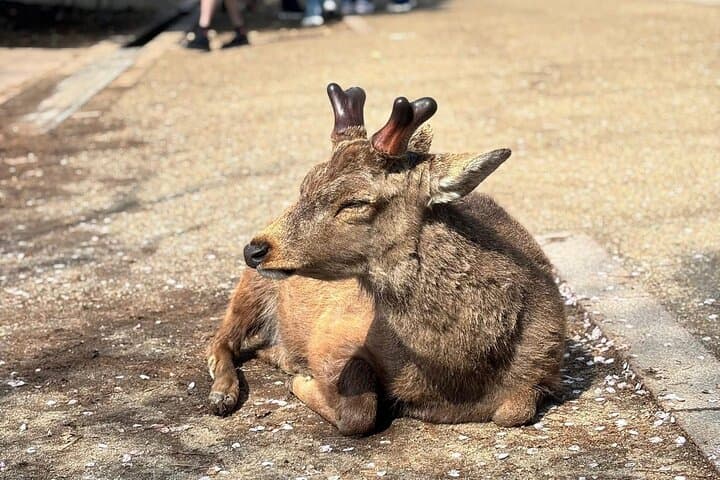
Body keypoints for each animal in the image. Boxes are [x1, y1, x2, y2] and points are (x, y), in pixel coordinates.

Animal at [206, 83, 566, 435]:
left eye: (355, 202)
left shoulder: (545, 366)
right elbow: (359, 413)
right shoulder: (333, 334)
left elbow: (514, 411)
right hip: (251, 287)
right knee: (220, 339)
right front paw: (301, 379)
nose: (253, 249)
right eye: (305, 184)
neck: (456, 375)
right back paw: (224, 393)